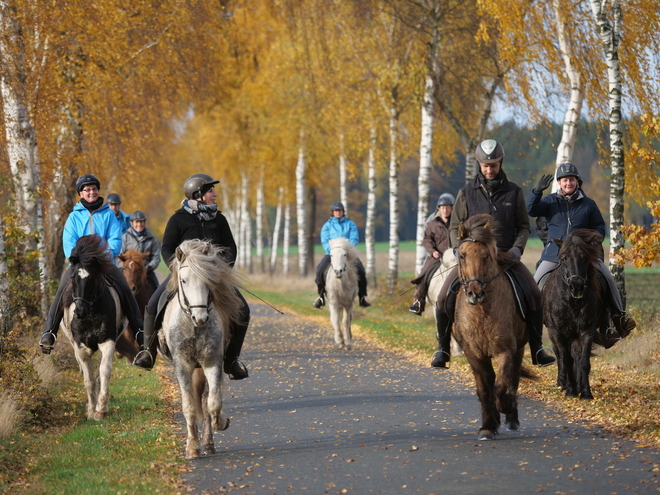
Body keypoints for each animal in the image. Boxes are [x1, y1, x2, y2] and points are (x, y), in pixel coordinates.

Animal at [61, 234, 129, 420]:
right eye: (73, 278)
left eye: (92, 278)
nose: (80, 311)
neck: (91, 315)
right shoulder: (80, 347)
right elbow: (88, 379)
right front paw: (91, 410)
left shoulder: (108, 341)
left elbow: (104, 372)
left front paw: (101, 409)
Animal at [159, 238, 242, 460]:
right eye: (184, 281)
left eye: (209, 280)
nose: (201, 318)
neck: (192, 326)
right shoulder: (183, 365)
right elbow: (189, 406)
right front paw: (192, 448)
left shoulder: (212, 362)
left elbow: (212, 403)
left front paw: (220, 422)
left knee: (205, 401)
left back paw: (209, 443)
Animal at [454, 215, 536, 440]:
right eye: (462, 256)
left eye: (487, 256)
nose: (475, 293)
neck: (482, 312)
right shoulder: (473, 353)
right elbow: (484, 389)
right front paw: (488, 426)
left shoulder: (505, 350)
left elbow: (501, 386)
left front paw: (505, 406)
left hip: (519, 348)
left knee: (512, 379)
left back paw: (511, 418)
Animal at [540, 231, 608, 402]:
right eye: (563, 258)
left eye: (585, 257)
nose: (576, 286)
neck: (572, 301)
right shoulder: (558, 331)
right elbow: (565, 359)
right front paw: (570, 390)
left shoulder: (586, 330)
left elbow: (583, 361)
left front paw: (585, 392)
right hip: (553, 332)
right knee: (560, 355)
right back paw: (562, 384)